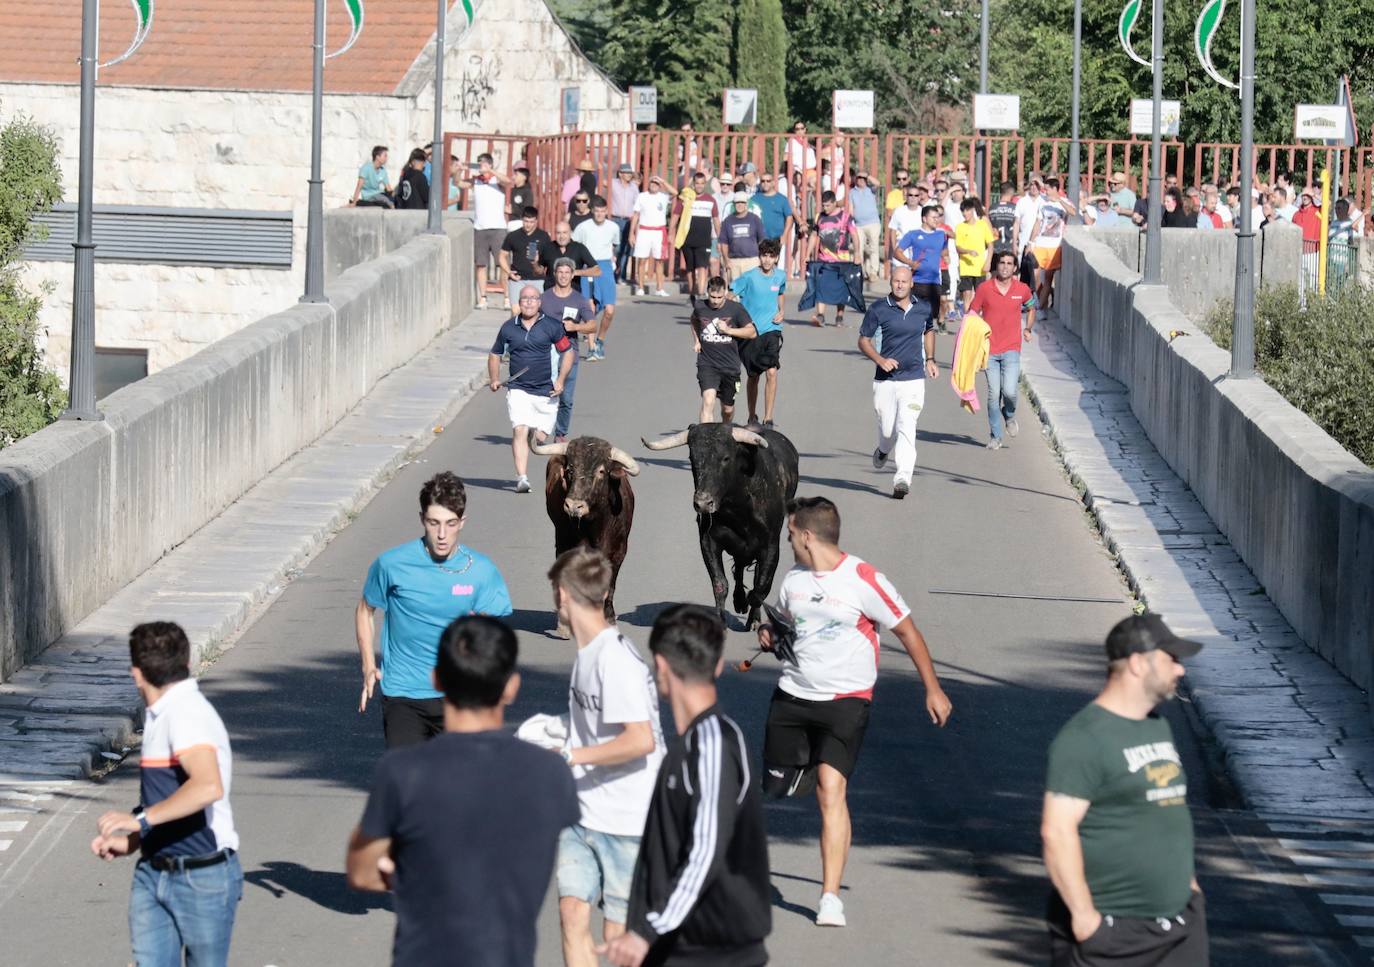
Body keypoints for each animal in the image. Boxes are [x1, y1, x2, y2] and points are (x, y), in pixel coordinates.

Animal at [527, 431, 640, 615]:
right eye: (570, 469)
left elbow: (611, 583)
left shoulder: (619, 551)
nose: (573, 506)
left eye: (601, 471)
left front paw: (609, 613)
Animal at [645, 423, 802, 626]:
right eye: (692, 458)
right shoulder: (708, 542)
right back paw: (740, 600)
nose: (703, 503)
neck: (737, 507)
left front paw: (754, 617)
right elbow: (720, 584)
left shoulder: (771, 546)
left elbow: (760, 587)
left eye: (726, 458)